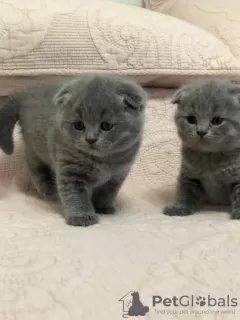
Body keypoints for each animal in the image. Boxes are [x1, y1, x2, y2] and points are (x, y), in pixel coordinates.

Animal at [0, 74, 146, 226]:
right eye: (79, 125)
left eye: (106, 125)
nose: (90, 139)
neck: (102, 160)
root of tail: (27, 91)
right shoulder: (71, 171)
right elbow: (75, 195)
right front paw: (82, 217)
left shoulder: (117, 175)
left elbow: (106, 193)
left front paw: (103, 207)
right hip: (35, 146)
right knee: (34, 163)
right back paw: (47, 189)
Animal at [164, 80, 240, 220]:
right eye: (191, 119)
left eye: (217, 120)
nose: (201, 131)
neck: (210, 157)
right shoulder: (189, 175)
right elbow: (184, 192)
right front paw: (178, 207)